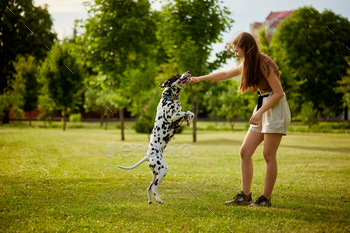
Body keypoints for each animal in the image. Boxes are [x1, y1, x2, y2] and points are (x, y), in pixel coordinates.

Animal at [117, 70, 194, 204]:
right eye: (177, 76)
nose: (188, 72)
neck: (169, 98)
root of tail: (148, 156)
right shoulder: (172, 116)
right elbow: (188, 112)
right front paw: (189, 118)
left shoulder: (179, 116)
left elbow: (190, 113)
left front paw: (189, 121)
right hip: (163, 170)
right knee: (153, 187)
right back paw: (158, 199)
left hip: (156, 173)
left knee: (149, 187)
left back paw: (151, 201)